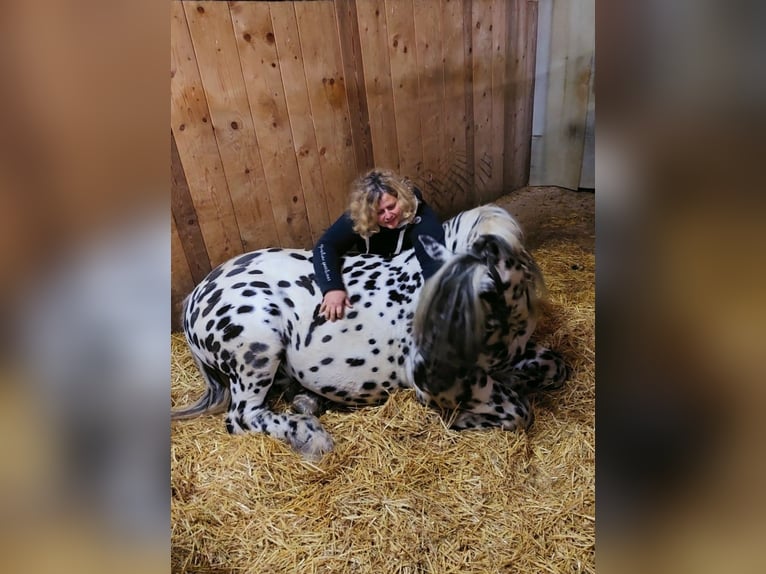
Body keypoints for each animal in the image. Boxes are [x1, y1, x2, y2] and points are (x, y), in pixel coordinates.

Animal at [174, 205, 568, 462]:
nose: (427, 374)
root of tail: (194, 298)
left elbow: (554, 365)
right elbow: (518, 411)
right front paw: (460, 418)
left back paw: (308, 403)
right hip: (258, 348)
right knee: (243, 416)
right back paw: (310, 436)